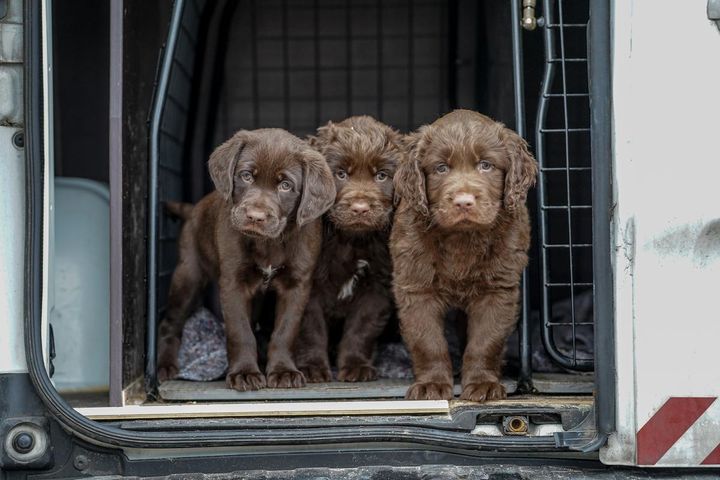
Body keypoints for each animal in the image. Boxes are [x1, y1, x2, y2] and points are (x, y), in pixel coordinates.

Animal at [158, 127, 334, 390]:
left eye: (285, 185)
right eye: (247, 176)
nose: (255, 216)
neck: (269, 242)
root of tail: (195, 209)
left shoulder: (297, 285)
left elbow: (285, 331)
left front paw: (283, 371)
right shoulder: (233, 283)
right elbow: (240, 331)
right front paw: (244, 373)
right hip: (188, 274)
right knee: (170, 322)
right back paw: (165, 366)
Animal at [294, 116, 402, 382]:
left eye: (381, 176)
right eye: (341, 174)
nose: (360, 208)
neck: (352, 240)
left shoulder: (377, 286)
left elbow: (362, 328)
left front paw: (356, 366)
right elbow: (311, 328)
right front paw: (312, 367)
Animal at [390, 109, 536, 402]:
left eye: (486, 165)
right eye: (441, 168)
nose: (463, 202)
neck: (461, 237)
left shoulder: (497, 289)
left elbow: (485, 340)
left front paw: (483, 385)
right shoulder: (416, 286)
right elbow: (427, 340)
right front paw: (431, 385)